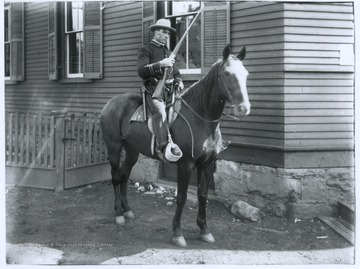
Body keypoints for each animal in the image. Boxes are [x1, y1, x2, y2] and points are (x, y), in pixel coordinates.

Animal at [100, 44, 249, 247]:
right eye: (226, 73)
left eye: (246, 74)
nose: (244, 108)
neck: (201, 118)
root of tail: (109, 103)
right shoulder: (185, 166)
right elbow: (181, 197)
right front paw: (177, 233)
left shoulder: (206, 165)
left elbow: (203, 195)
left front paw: (204, 230)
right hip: (114, 148)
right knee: (115, 177)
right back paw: (118, 214)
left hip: (132, 151)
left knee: (123, 176)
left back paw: (127, 210)